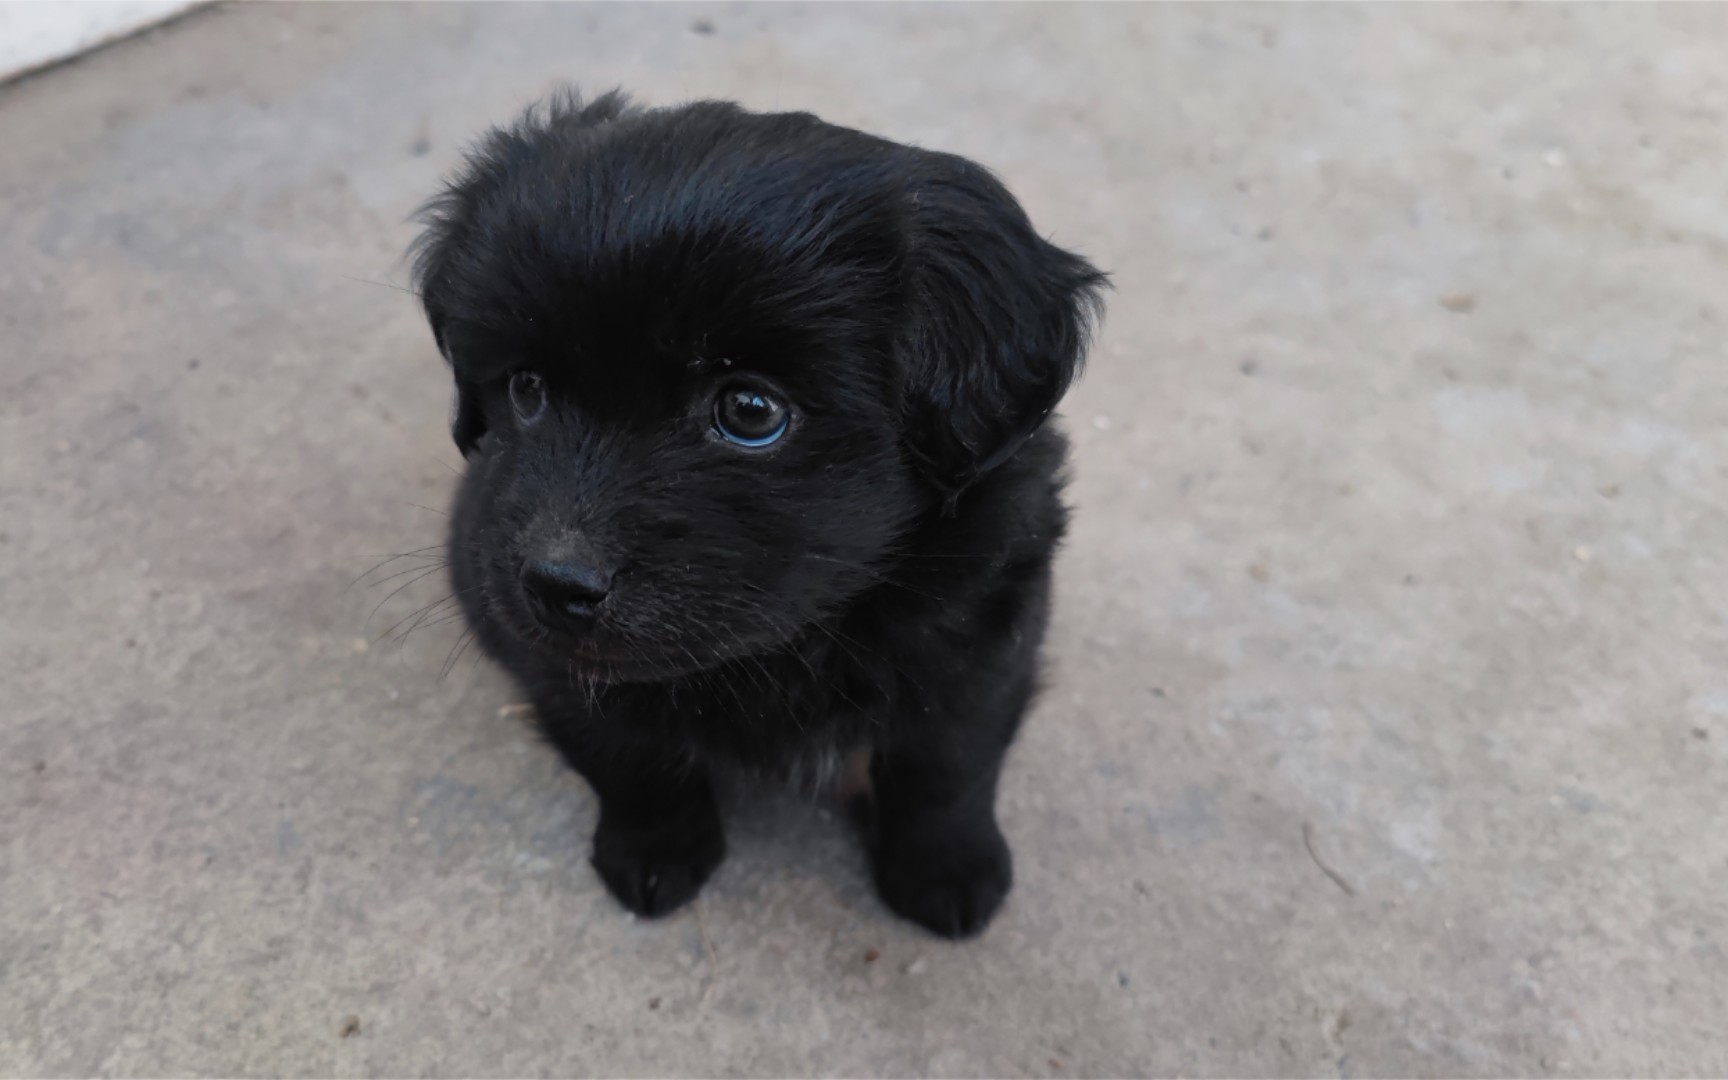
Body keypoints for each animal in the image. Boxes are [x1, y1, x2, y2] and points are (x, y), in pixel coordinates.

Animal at [411, 92, 1099, 933]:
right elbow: (625, 755)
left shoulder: (984, 634)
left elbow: (948, 765)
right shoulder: (551, 658)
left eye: (750, 411)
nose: (556, 581)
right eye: (526, 389)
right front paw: (655, 852)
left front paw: (949, 869)